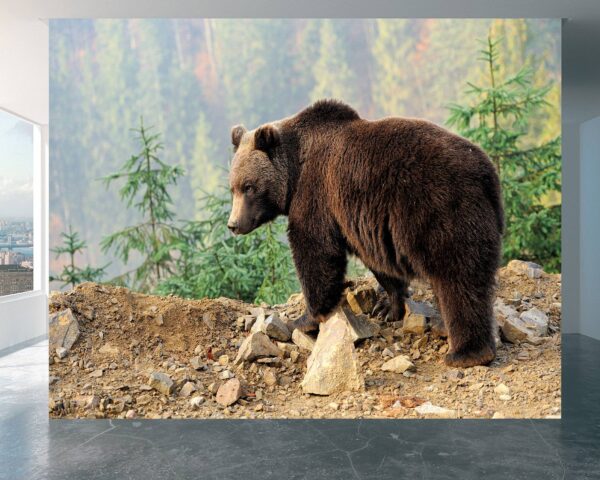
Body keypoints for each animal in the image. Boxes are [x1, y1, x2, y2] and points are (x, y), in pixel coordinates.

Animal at [227, 98, 504, 368]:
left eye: (249, 186)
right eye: (233, 188)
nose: (233, 224)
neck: (295, 170)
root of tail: (486, 172)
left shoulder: (317, 194)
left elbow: (316, 252)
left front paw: (303, 319)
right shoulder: (364, 223)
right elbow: (379, 263)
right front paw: (387, 307)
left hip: (439, 209)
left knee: (457, 278)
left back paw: (466, 352)